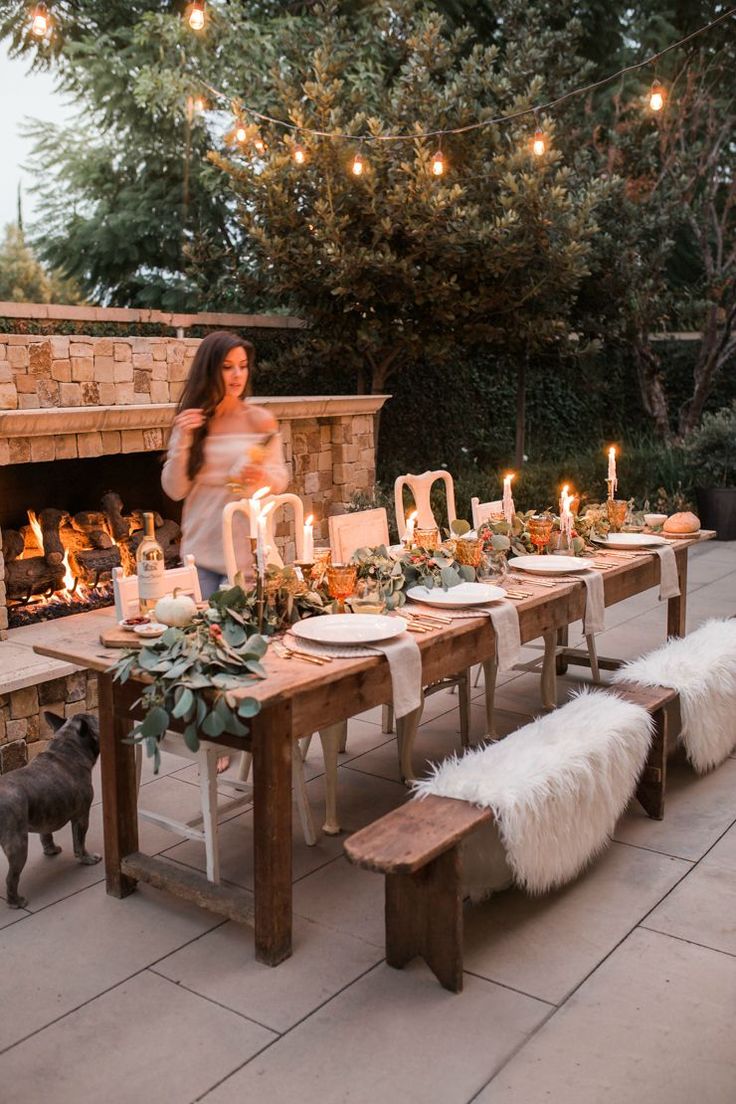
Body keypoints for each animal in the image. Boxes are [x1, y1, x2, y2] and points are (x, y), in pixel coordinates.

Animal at [0, 710, 102, 909]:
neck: (66, 747)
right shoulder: (81, 816)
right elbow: (80, 842)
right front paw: (87, 859)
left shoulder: (45, 816)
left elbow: (45, 835)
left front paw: (51, 849)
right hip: (18, 844)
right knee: (11, 878)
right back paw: (16, 901)